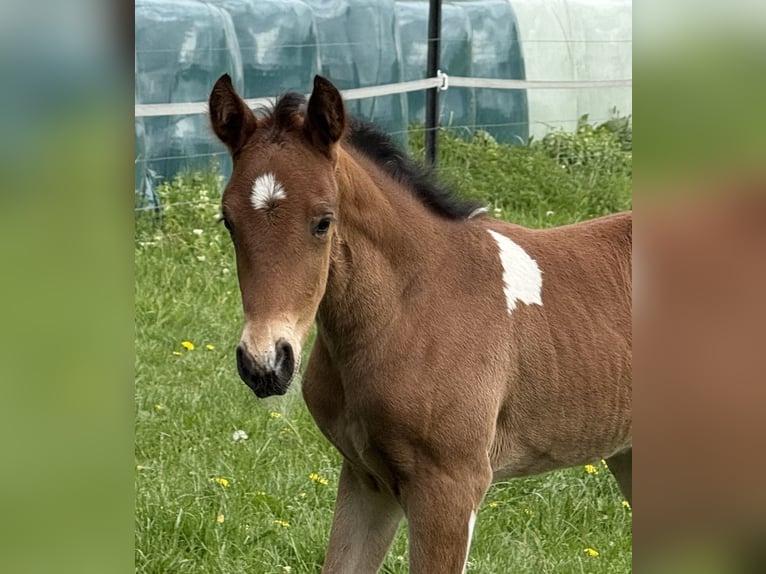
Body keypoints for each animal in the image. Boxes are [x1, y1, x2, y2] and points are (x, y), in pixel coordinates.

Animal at [208, 73, 632, 573]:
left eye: (323, 221)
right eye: (228, 221)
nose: (265, 363)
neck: (410, 309)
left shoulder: (451, 486)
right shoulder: (366, 478)